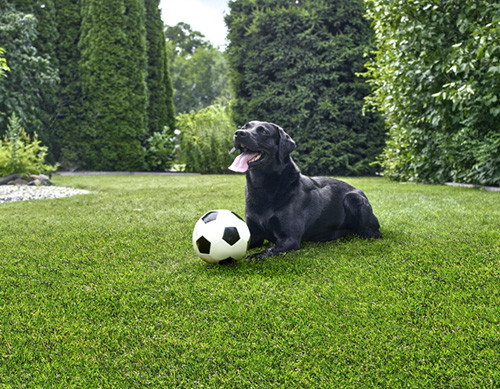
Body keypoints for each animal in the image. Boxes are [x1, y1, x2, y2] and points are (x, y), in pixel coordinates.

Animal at [229, 119, 380, 258]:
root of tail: (359, 190)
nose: (239, 133)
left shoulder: (289, 239)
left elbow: (266, 252)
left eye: (264, 132)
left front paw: (254, 256)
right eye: (244, 127)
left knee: (373, 233)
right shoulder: (254, 235)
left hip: (353, 199)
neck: (263, 186)